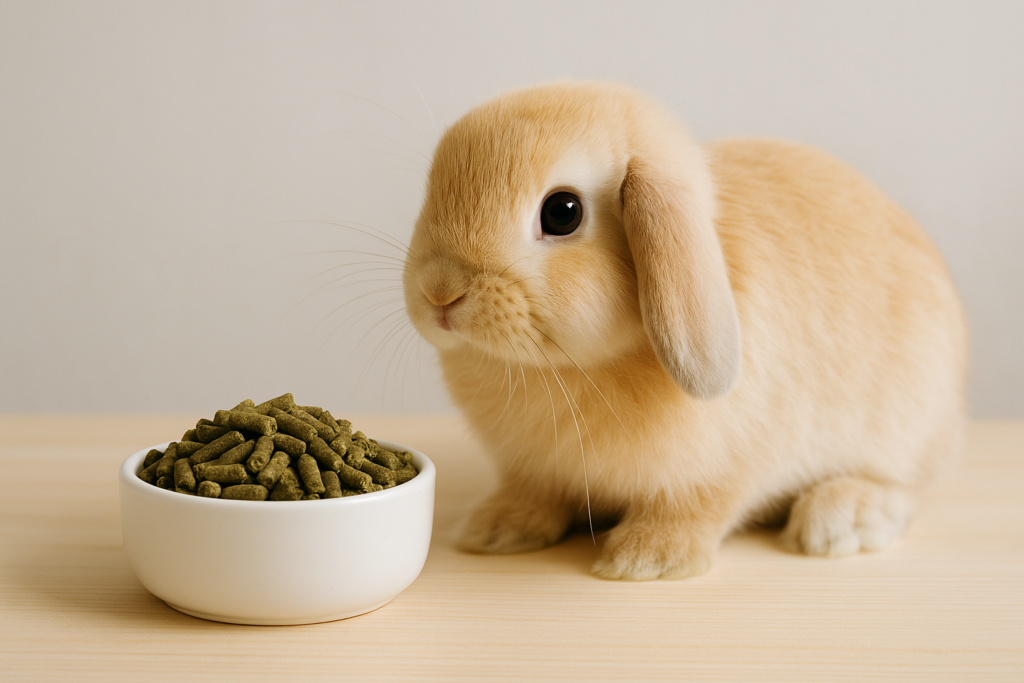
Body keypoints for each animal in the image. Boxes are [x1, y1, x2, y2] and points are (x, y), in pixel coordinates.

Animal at [402, 81, 967, 580]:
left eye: (563, 212)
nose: (440, 292)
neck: (566, 367)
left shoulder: (727, 467)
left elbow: (697, 507)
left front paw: (645, 560)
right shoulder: (536, 474)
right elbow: (534, 495)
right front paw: (494, 530)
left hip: (908, 424)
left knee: (904, 489)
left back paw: (839, 520)